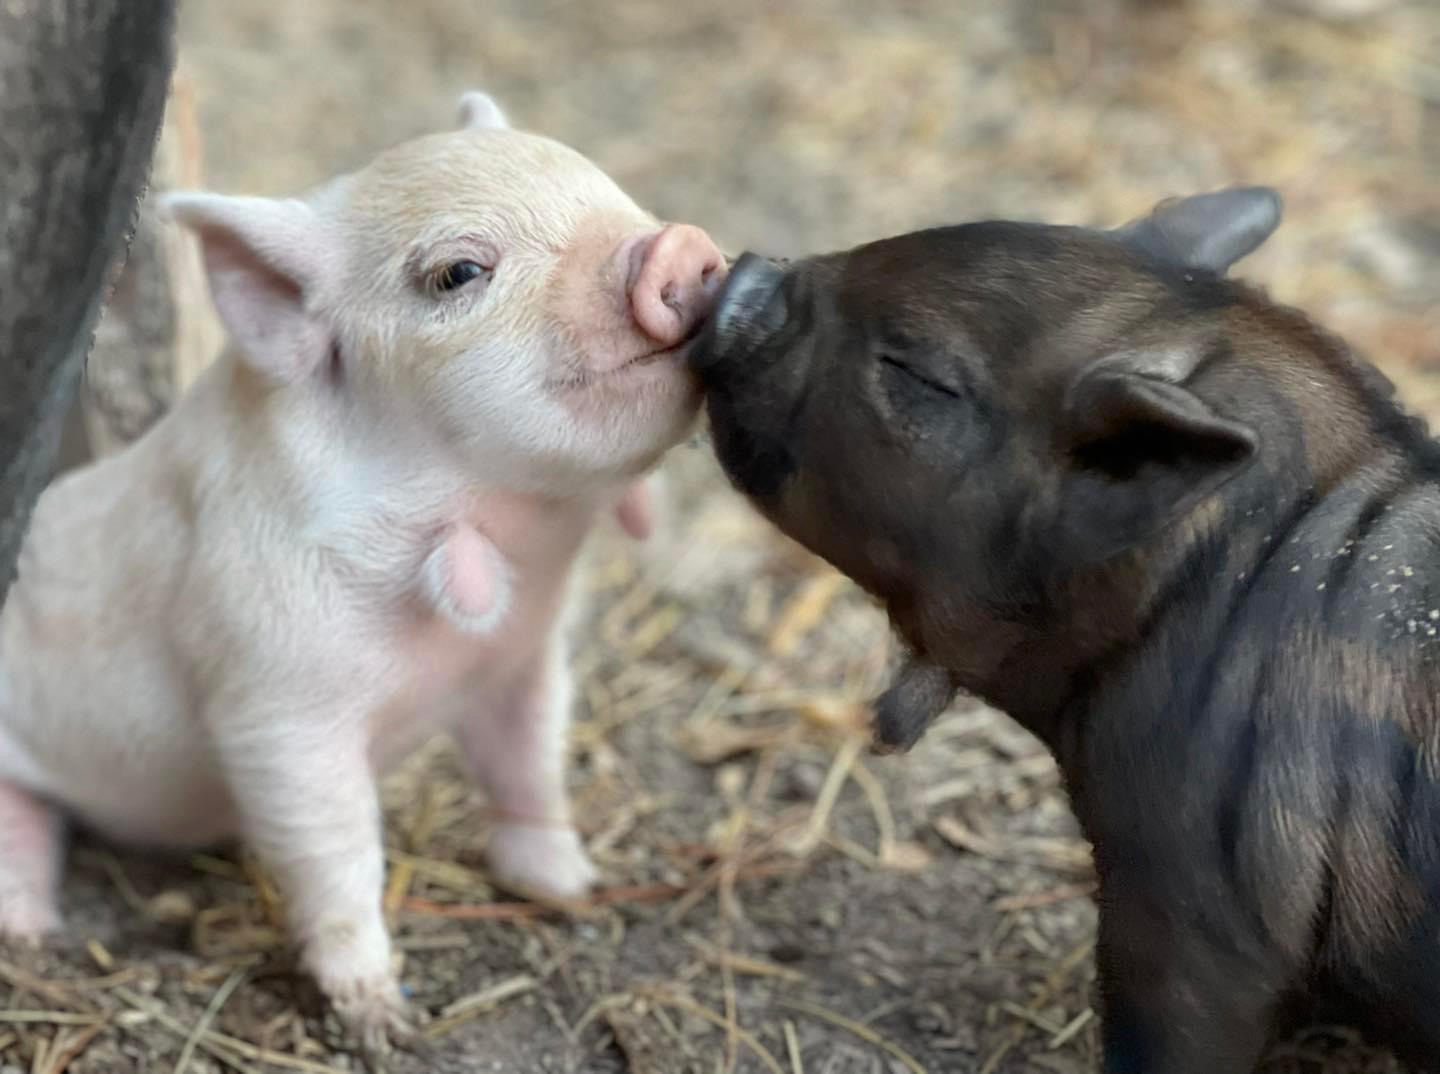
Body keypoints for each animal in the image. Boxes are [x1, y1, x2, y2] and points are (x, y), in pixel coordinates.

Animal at [0, 91, 725, 1058]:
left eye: (607, 188)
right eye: (458, 273)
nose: (678, 245)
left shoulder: (525, 660)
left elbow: (529, 766)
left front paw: (570, 887)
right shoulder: (273, 701)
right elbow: (337, 848)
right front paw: (382, 1020)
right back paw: (34, 936)